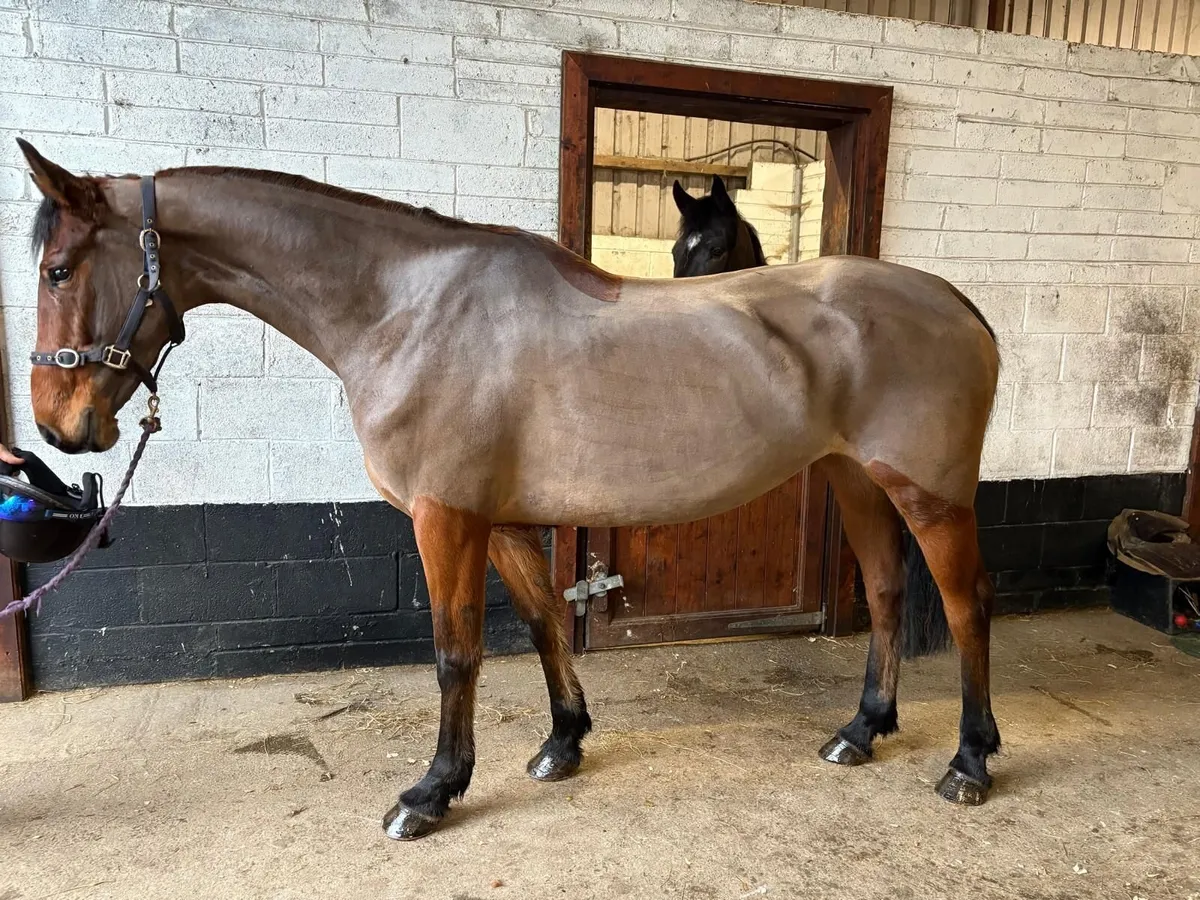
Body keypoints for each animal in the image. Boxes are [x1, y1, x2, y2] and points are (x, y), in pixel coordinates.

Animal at [17, 139, 1002, 842]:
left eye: (58, 270)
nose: (60, 427)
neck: (405, 312)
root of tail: (958, 303)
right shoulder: (499, 521)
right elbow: (539, 622)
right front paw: (562, 742)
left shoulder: (446, 518)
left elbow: (457, 653)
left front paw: (431, 791)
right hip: (854, 481)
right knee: (885, 591)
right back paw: (862, 730)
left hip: (929, 495)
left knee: (966, 605)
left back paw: (970, 760)